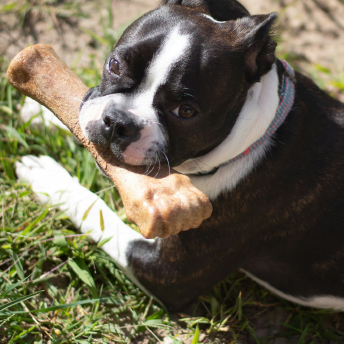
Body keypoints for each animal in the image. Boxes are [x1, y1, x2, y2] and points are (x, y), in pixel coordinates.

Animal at [16, 0, 344, 312]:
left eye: (185, 111)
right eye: (115, 64)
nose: (119, 122)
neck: (253, 137)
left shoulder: (166, 273)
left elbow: (98, 214)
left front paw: (51, 180)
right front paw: (40, 113)